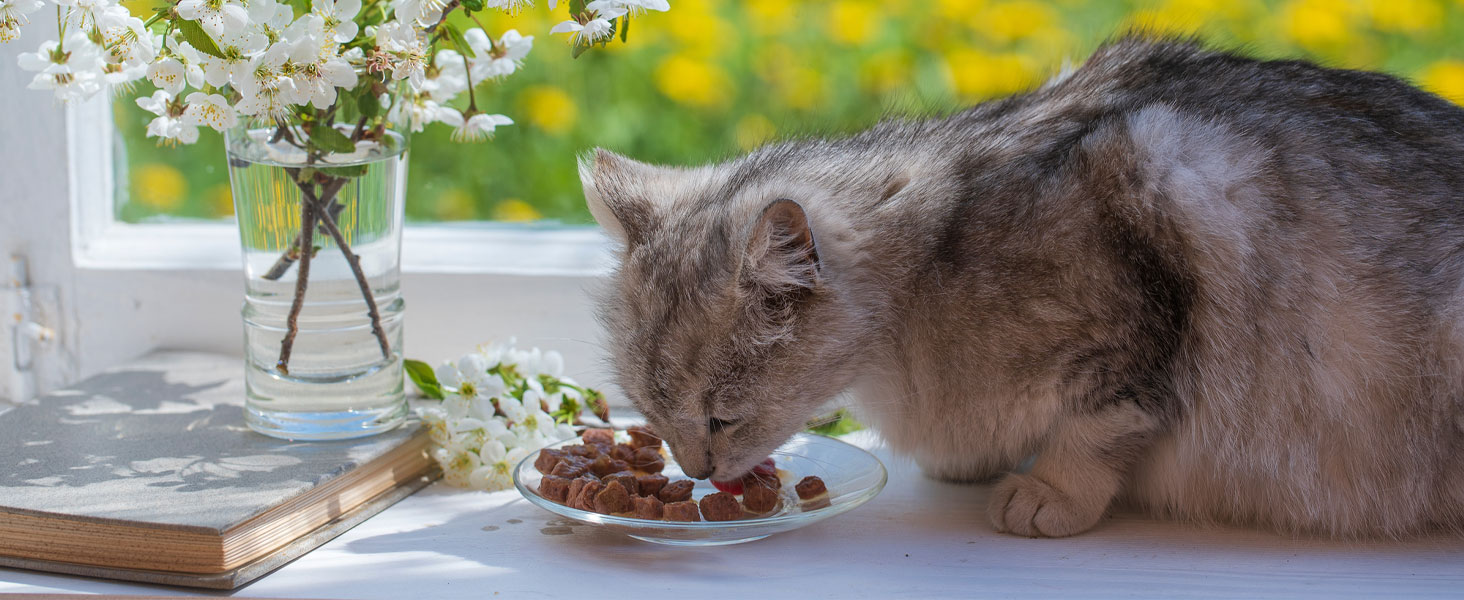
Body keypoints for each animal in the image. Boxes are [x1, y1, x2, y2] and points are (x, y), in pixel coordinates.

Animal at [576, 34, 1464, 538]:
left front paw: (1048, 493)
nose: (696, 472)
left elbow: (1096, 425)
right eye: (650, 411)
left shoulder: (1139, 295)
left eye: (720, 418)